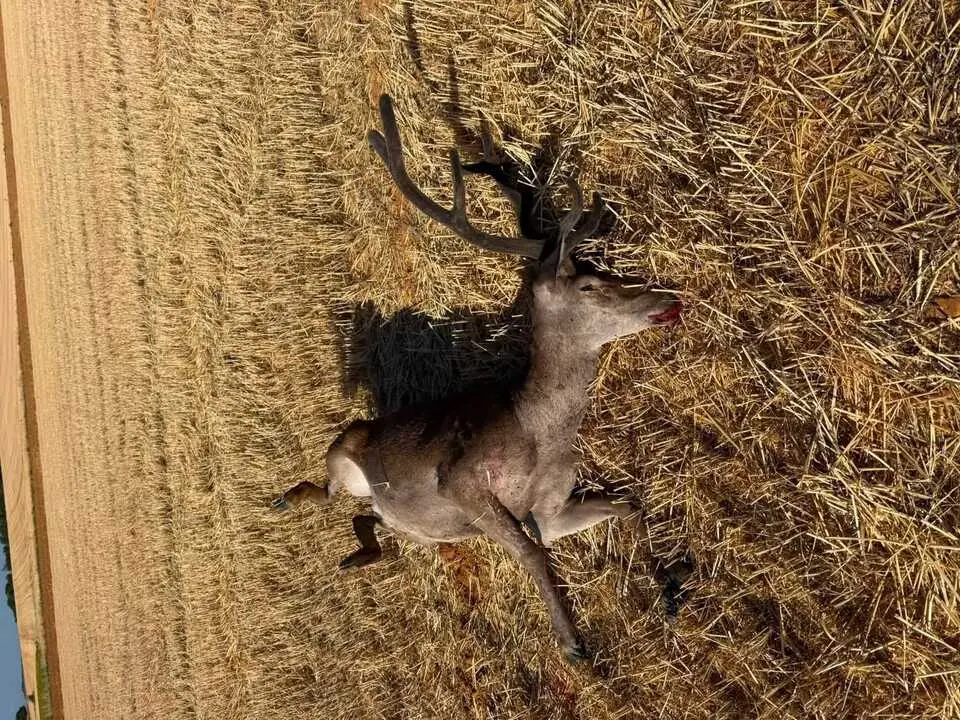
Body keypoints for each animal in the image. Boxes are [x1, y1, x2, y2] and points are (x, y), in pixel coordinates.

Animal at [273, 94, 689, 662]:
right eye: (587, 284)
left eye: (600, 267)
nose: (666, 299)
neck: (543, 435)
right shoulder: (462, 482)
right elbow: (534, 556)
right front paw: (574, 644)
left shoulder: (550, 509)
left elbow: (627, 504)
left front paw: (673, 585)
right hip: (344, 453)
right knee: (330, 492)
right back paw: (287, 499)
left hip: (412, 528)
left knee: (369, 521)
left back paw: (359, 554)